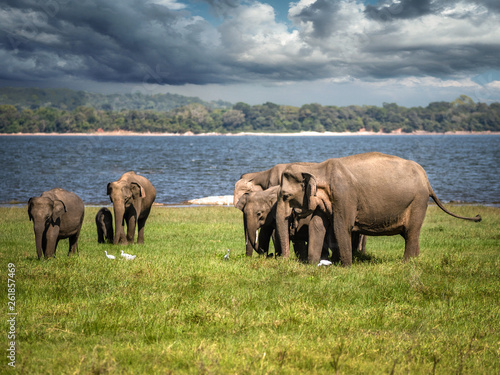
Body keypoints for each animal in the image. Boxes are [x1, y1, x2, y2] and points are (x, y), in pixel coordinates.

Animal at [276, 151, 482, 266]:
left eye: (285, 196)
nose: (283, 262)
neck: (319, 168)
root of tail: (426, 180)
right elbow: (317, 226)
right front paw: (312, 265)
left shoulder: (345, 195)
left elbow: (341, 227)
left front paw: (346, 267)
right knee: (411, 234)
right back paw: (416, 260)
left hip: (418, 201)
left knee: (412, 232)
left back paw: (407, 264)